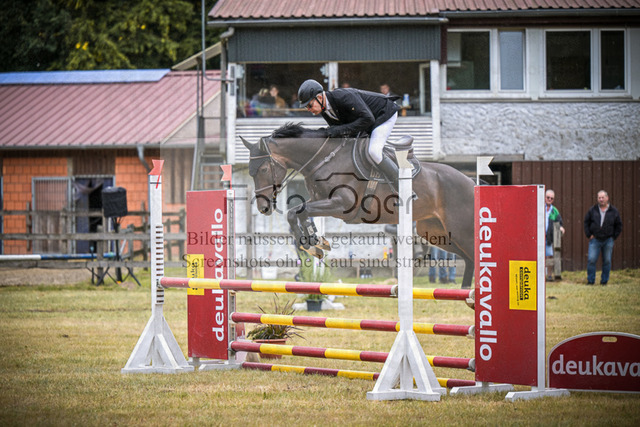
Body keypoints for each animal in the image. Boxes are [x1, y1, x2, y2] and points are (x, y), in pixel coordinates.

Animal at [241, 123, 476, 289]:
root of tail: (471, 182)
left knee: (473, 255)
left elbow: (299, 211)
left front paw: (312, 244)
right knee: (468, 258)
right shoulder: (319, 199)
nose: (263, 207)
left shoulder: (342, 204)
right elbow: (295, 213)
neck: (324, 159)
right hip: (435, 231)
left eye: (263, 169)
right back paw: (467, 294)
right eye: (250, 172)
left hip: (461, 231)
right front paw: (315, 243)